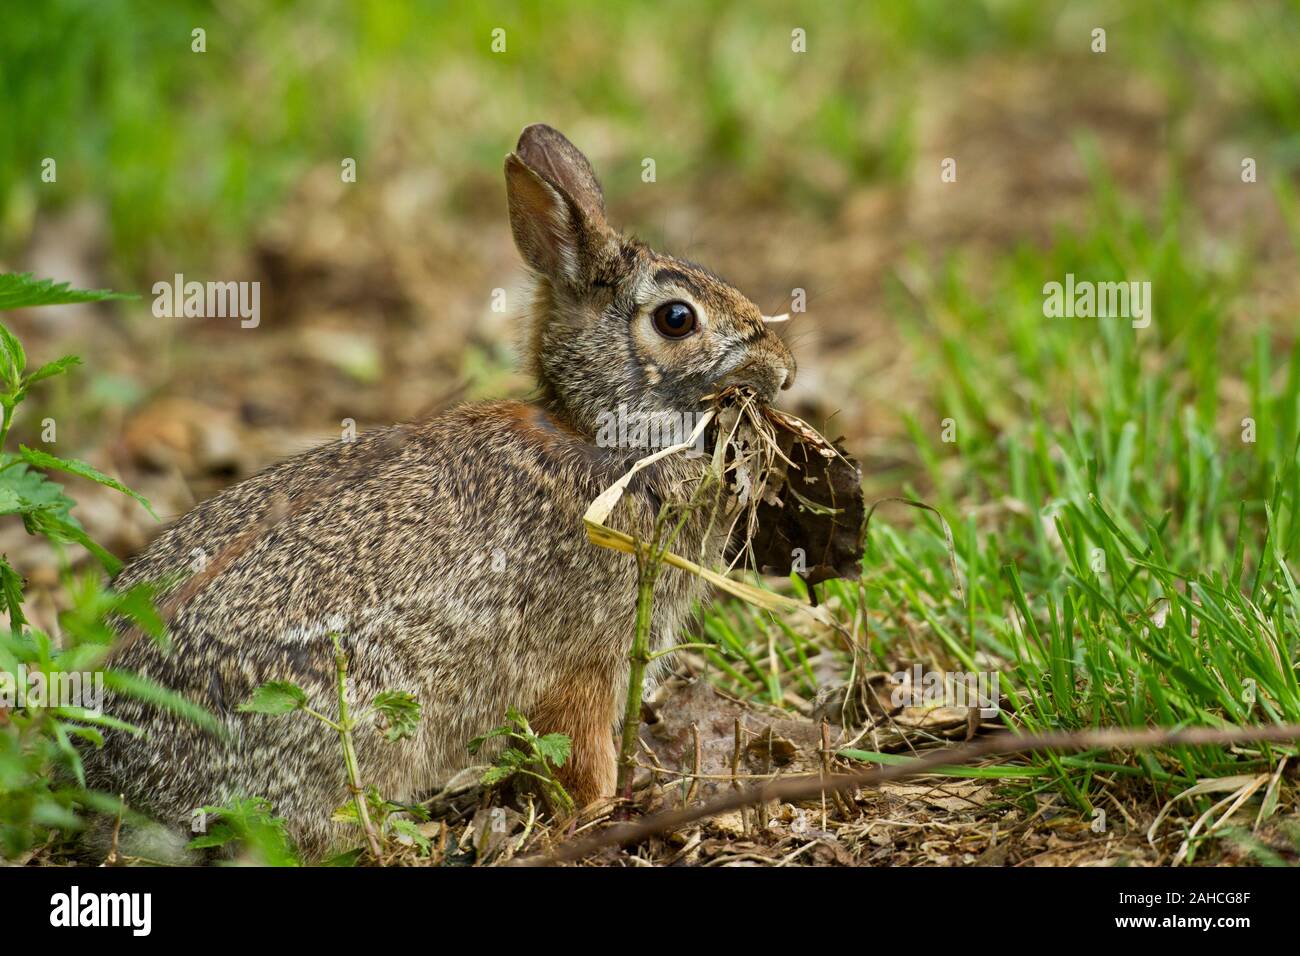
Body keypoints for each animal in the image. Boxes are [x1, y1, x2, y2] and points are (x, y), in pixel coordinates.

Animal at [83, 123, 790, 863]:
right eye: (677, 319)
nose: (783, 370)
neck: (605, 436)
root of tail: (116, 782)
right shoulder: (584, 667)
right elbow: (583, 755)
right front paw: (608, 814)